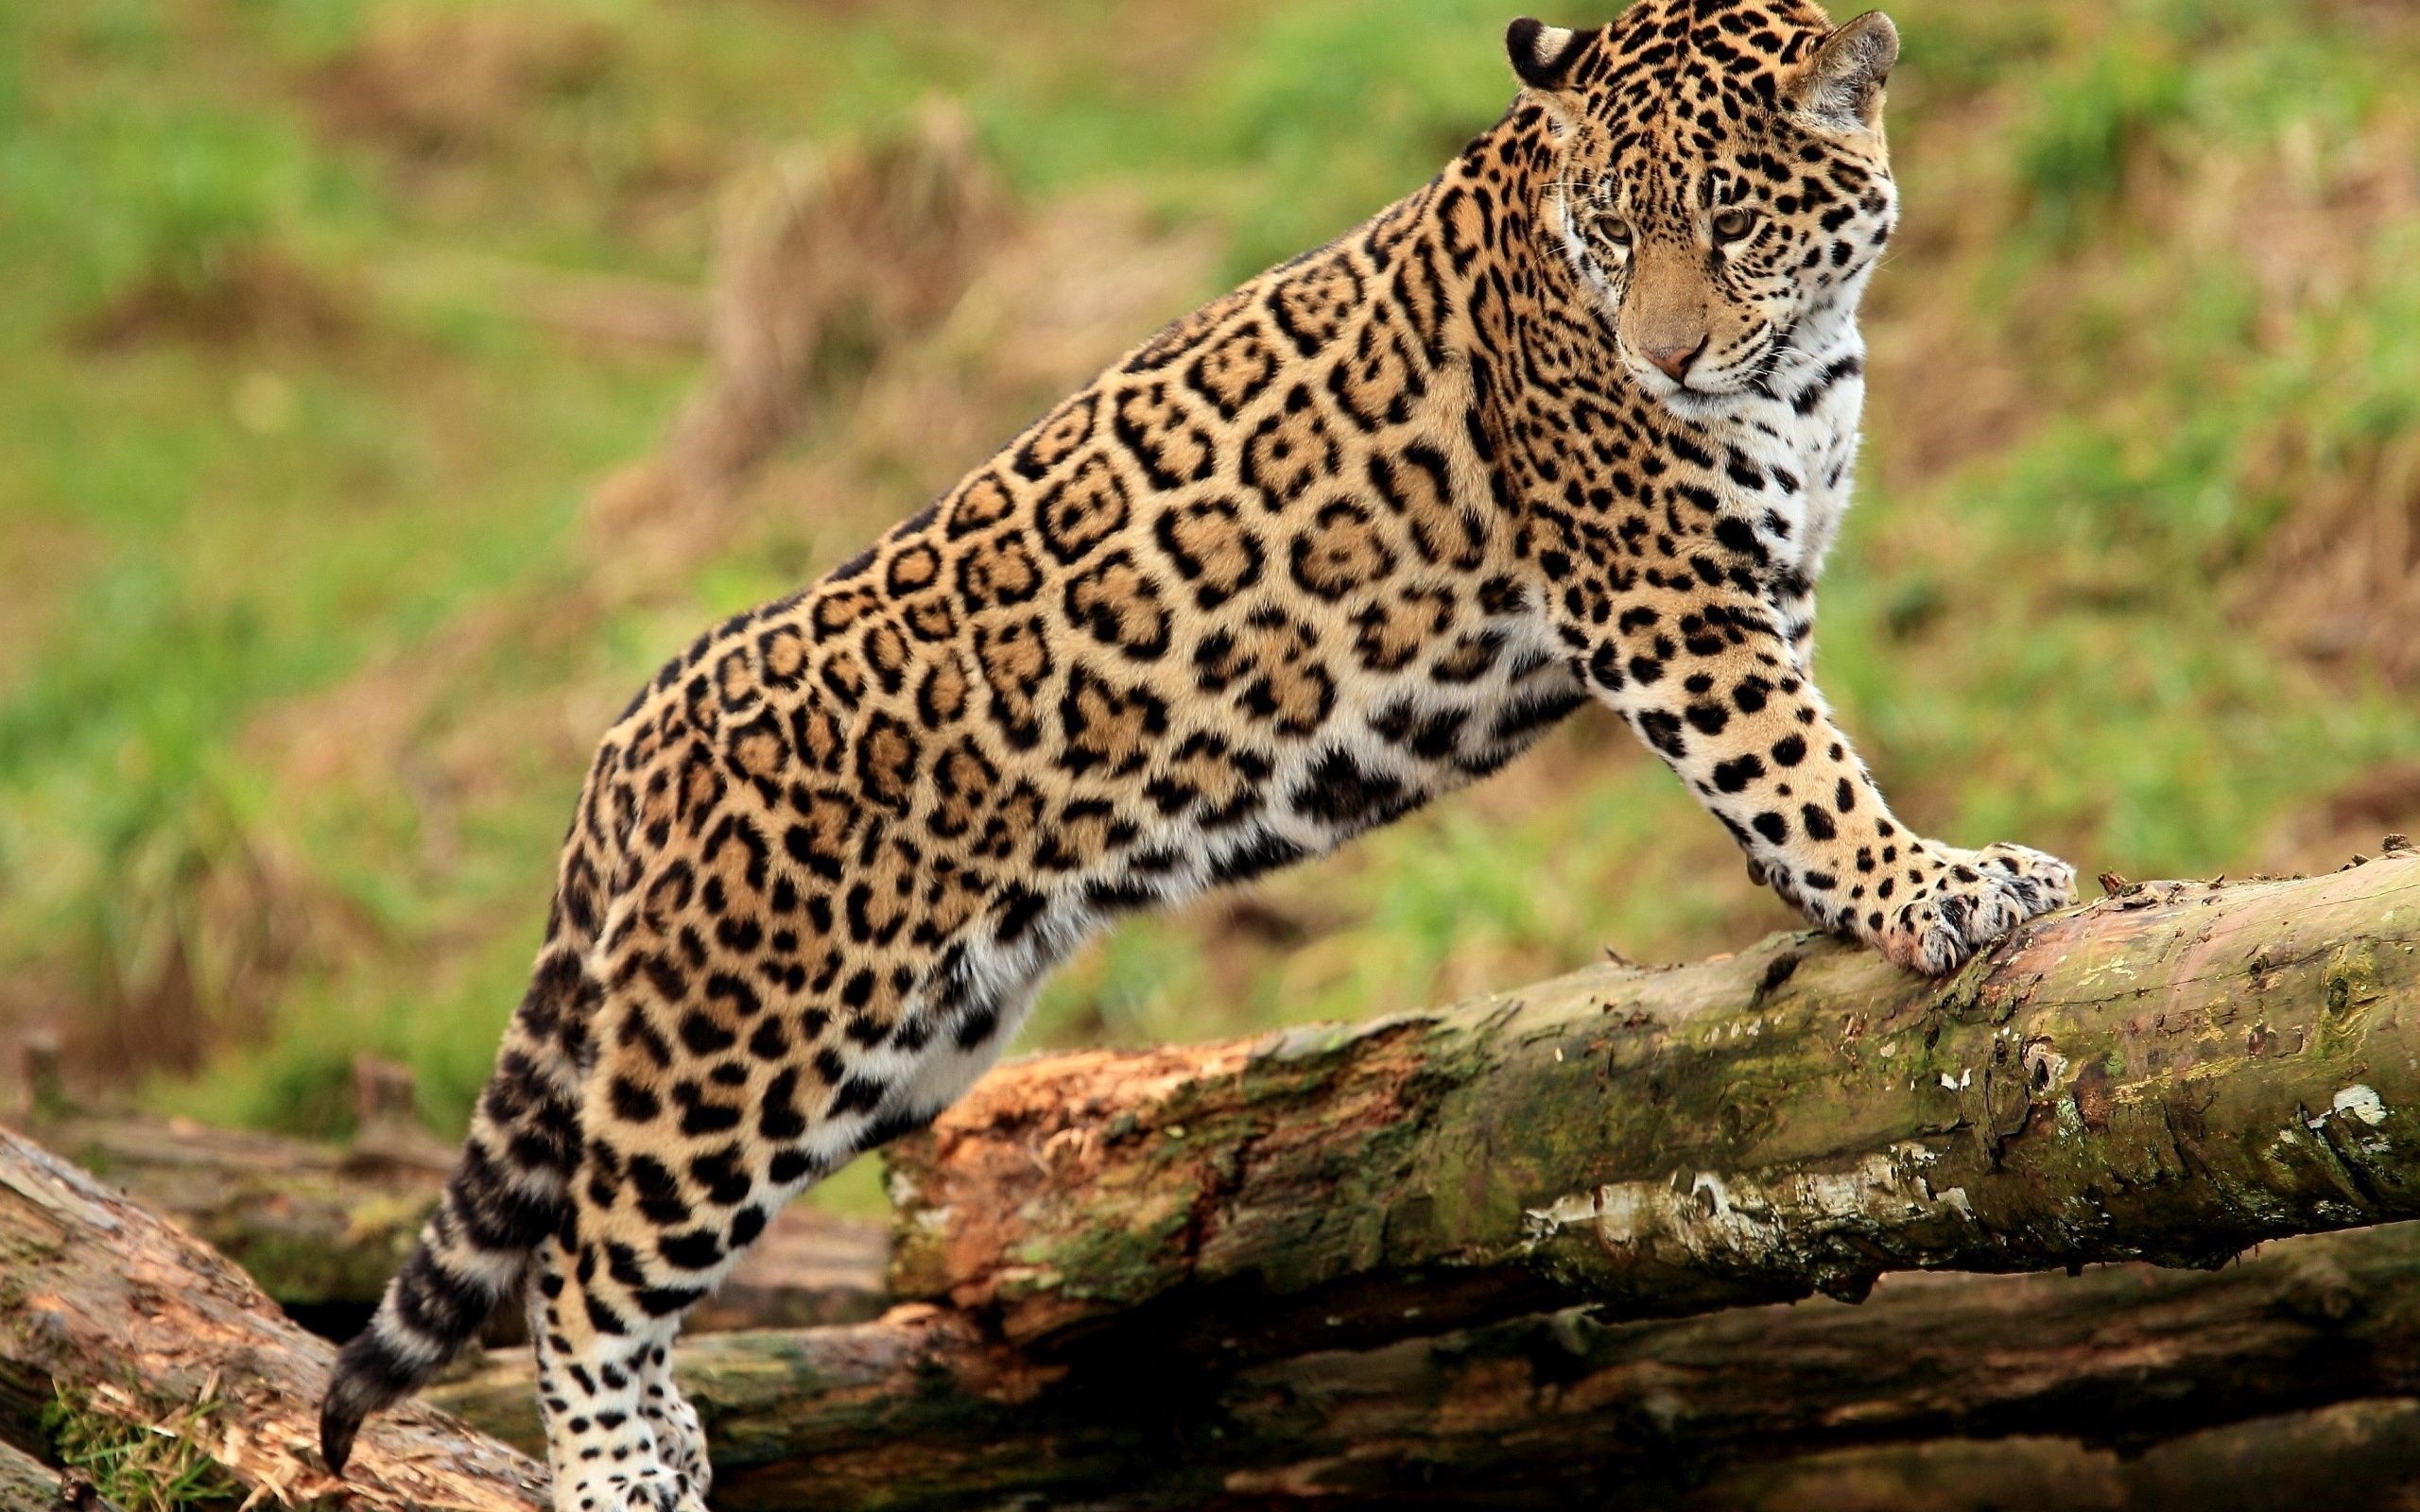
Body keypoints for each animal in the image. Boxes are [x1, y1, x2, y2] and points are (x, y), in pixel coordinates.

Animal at [322, 4, 2078, 1506]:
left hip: (915, 1040)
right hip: (746, 1042)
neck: (1808, 357)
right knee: (583, 1261)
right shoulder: (1665, 597)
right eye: (1610, 231)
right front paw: (1933, 884)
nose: (1664, 361)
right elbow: (1798, 765)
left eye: (1729, 222)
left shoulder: (1759, 588)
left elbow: (1784, 779)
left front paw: (1836, 905)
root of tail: (641, 728)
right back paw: (622, 1470)